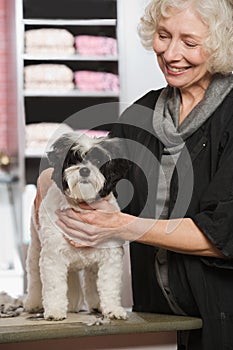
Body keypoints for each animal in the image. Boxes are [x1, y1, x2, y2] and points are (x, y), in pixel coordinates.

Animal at [23, 131, 128, 320]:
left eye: (98, 161)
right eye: (74, 160)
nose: (84, 170)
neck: (81, 204)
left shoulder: (110, 257)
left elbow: (109, 285)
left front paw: (113, 309)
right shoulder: (53, 257)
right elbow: (54, 287)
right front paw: (55, 311)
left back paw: (93, 304)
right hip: (35, 249)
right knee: (35, 278)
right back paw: (34, 303)